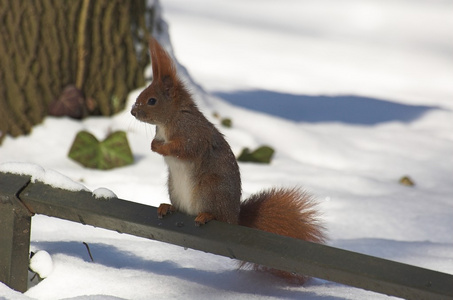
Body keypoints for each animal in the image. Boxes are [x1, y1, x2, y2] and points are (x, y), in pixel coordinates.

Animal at [131, 37, 324, 284]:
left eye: (152, 100)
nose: (132, 111)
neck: (170, 119)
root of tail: (235, 218)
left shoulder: (193, 136)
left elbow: (183, 149)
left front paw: (158, 147)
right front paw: (154, 144)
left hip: (210, 188)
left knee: (218, 215)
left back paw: (207, 215)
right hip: (174, 186)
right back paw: (168, 207)